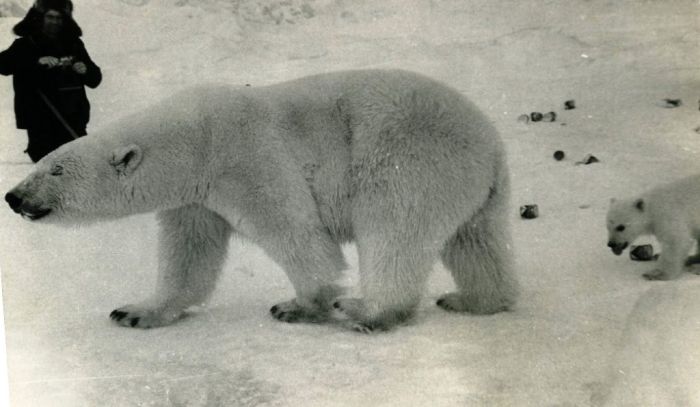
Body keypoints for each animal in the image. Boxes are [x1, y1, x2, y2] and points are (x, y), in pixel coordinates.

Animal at [4, 69, 520, 332]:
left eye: (54, 170)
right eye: (42, 163)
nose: (13, 196)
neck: (192, 141)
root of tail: (492, 144)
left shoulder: (244, 156)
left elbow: (296, 231)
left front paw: (301, 304)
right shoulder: (196, 198)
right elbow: (188, 254)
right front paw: (135, 310)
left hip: (408, 157)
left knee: (395, 231)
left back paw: (365, 310)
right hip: (474, 187)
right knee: (477, 241)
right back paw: (474, 299)